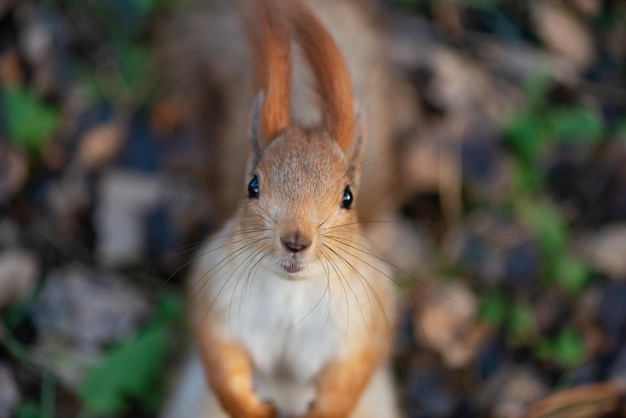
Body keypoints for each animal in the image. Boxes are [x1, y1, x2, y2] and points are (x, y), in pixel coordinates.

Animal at [161, 0, 400, 418]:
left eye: (348, 197)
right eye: (252, 186)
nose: (295, 241)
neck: (292, 291)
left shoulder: (366, 317)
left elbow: (352, 374)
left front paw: (324, 411)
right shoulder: (215, 297)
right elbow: (220, 360)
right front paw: (251, 408)